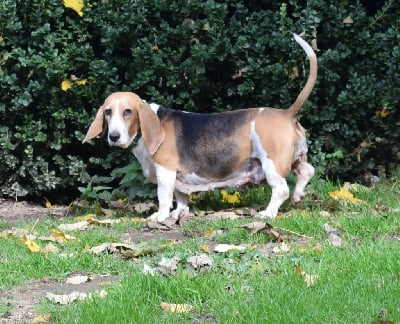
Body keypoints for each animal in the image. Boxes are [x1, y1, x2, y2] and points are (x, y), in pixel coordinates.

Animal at [83, 33, 318, 223]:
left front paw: (160, 216)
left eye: (128, 112)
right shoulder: (179, 177)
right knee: (307, 171)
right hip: (293, 158)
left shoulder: (166, 171)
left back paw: (268, 213)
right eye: (107, 112)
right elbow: (181, 197)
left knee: (281, 190)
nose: (114, 136)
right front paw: (179, 214)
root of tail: (287, 113)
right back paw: (298, 196)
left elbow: (164, 197)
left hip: (271, 163)